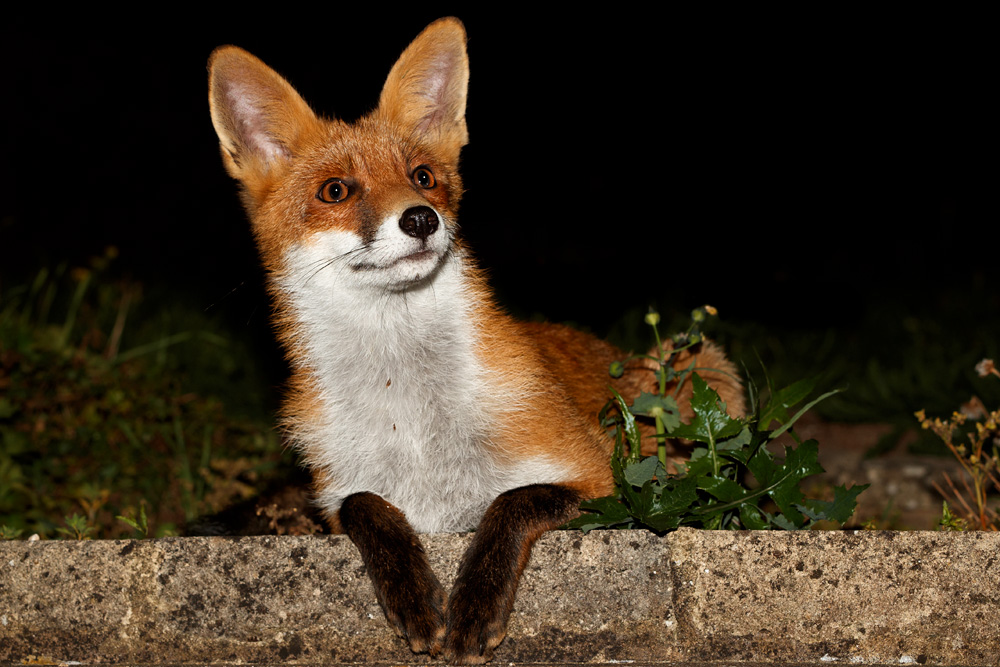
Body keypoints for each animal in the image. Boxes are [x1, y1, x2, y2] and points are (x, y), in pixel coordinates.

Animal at [207, 17, 744, 664]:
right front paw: (411, 592)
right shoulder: (339, 494)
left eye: (423, 178)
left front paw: (474, 604)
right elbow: (366, 505)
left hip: (704, 367)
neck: (412, 410)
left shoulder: (613, 484)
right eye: (335, 191)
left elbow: (513, 501)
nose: (420, 218)